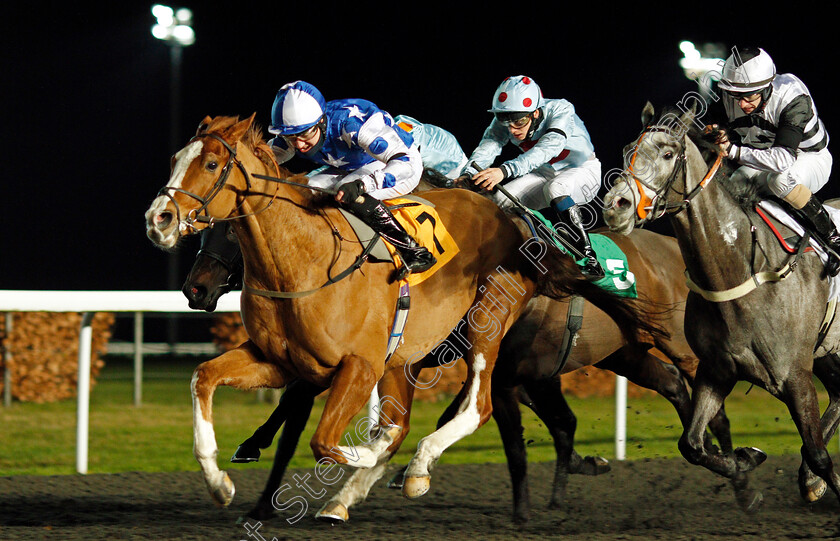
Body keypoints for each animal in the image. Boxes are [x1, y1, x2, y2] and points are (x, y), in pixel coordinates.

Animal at [144, 113, 656, 506]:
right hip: (411, 356)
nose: (158, 220)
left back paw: (414, 468)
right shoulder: (282, 361)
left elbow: (328, 441)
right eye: (173, 160)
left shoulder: (360, 364)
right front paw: (221, 482)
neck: (304, 262)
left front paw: (375, 461)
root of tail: (516, 225)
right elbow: (203, 377)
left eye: (212, 164)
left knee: (478, 405)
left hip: (487, 326)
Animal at [182, 219, 728, 524]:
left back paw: (727, 460)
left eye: (231, 233)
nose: (195, 289)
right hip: (625, 352)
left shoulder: (487, 370)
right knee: (664, 389)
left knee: (703, 390)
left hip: (667, 342)